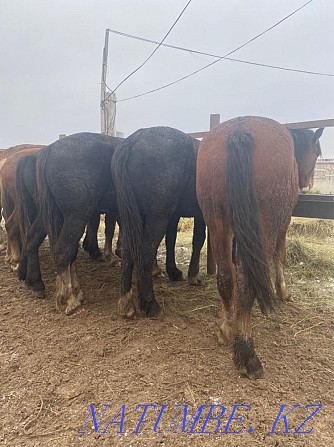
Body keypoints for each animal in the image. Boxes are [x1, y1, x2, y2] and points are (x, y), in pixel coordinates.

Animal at [111, 128, 206, 320]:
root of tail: (132, 142)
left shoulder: (174, 216)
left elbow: (172, 240)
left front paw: (174, 271)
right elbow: (199, 240)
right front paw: (194, 276)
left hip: (134, 218)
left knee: (127, 250)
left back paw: (126, 303)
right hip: (156, 217)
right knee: (145, 254)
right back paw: (151, 305)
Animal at [196, 115, 324, 378]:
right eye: (317, 152)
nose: (308, 182)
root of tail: (239, 132)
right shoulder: (283, 224)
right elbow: (280, 254)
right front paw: (282, 291)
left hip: (217, 220)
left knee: (227, 276)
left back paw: (226, 327)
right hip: (263, 225)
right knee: (247, 281)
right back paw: (247, 353)